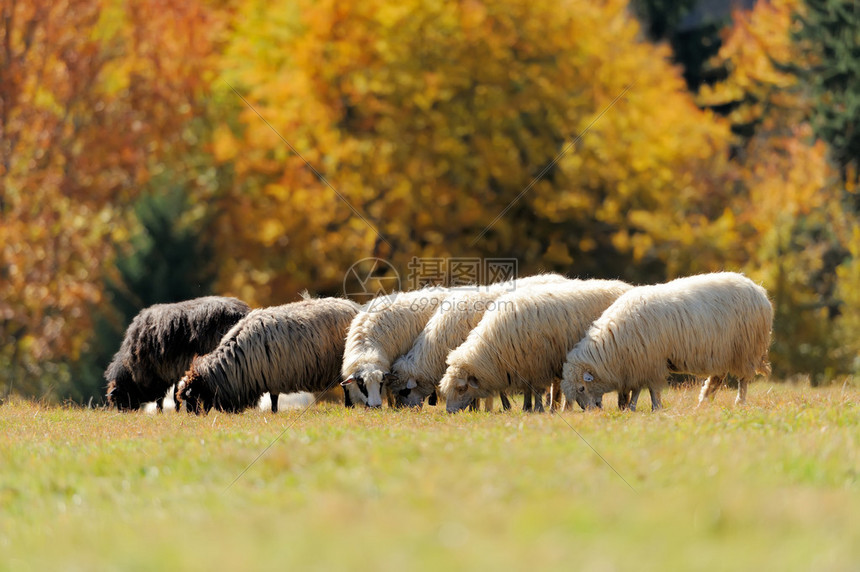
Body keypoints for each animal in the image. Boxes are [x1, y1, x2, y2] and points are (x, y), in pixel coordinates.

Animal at [105, 298, 249, 414]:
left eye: (118, 399)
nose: (124, 414)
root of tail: (243, 312)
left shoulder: (162, 374)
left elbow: (166, 398)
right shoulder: (174, 374)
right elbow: (176, 393)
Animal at [178, 298, 360, 414]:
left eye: (193, 396)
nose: (193, 416)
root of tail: (353, 305)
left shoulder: (273, 376)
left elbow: (273, 398)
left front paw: (273, 413)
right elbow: (273, 398)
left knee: (346, 386)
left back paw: (348, 406)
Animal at [440, 280, 636, 412]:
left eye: (461, 388)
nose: (449, 412)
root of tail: (626, 287)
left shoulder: (537, 363)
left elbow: (536, 389)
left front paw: (537, 409)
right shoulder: (525, 365)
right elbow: (528, 389)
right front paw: (528, 408)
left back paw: (622, 405)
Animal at [564, 272, 772, 412]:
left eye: (582, 387)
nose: (590, 412)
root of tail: (758, 289)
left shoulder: (651, 362)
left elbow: (652, 389)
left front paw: (656, 408)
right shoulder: (640, 364)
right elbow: (638, 389)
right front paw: (632, 408)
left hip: (746, 349)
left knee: (743, 380)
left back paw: (739, 403)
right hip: (722, 352)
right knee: (716, 379)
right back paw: (703, 403)